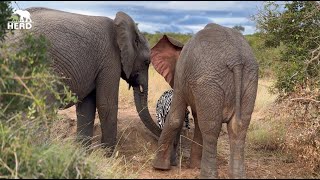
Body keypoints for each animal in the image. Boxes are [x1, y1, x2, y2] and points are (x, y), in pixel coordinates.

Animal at [5, 7, 162, 152]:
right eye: (147, 62)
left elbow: (87, 107)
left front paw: (82, 154)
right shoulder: (110, 59)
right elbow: (106, 104)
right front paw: (107, 156)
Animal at [151, 23, 260, 179]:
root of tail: (236, 59)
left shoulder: (181, 78)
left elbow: (175, 118)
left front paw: (158, 167)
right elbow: (197, 119)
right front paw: (194, 166)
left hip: (209, 80)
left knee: (210, 128)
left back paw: (207, 176)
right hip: (249, 79)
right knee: (238, 127)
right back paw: (237, 176)